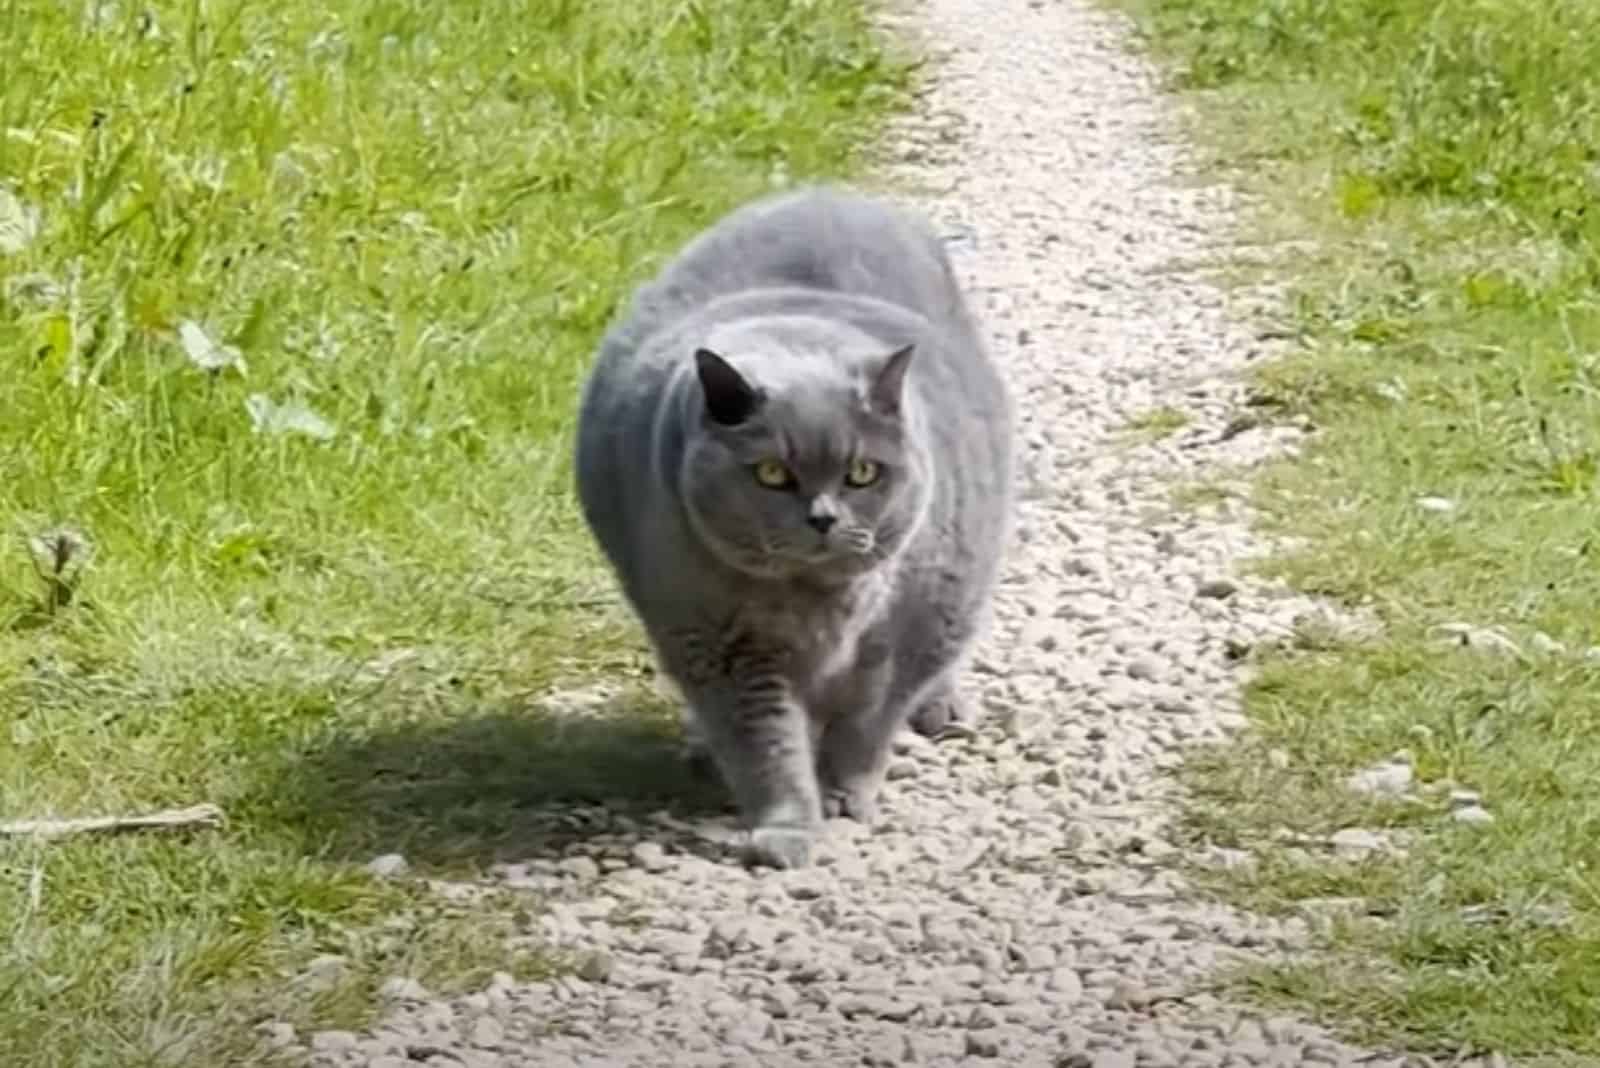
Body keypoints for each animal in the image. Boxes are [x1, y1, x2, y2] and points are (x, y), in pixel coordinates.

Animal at [572, 183, 1011, 869]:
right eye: (773, 473)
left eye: (862, 472)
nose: (823, 517)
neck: (820, 602)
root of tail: (830, 192)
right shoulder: (718, 645)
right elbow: (767, 746)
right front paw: (789, 828)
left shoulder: (906, 632)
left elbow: (867, 726)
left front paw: (844, 797)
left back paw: (944, 709)